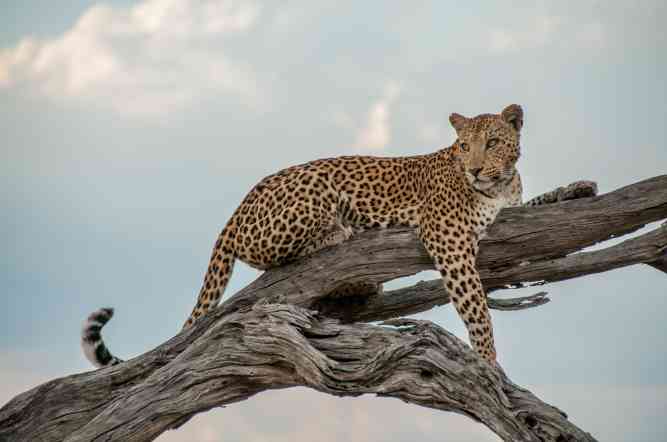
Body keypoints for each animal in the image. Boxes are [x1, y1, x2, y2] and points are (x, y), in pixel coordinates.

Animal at [81, 104, 596, 368]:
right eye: (463, 145)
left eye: (491, 142)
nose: (472, 168)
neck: (498, 184)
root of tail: (236, 210)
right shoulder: (448, 239)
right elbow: (476, 308)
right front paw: (489, 361)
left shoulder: (510, 211)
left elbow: (540, 201)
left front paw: (578, 188)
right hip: (309, 192)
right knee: (277, 254)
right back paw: (340, 234)